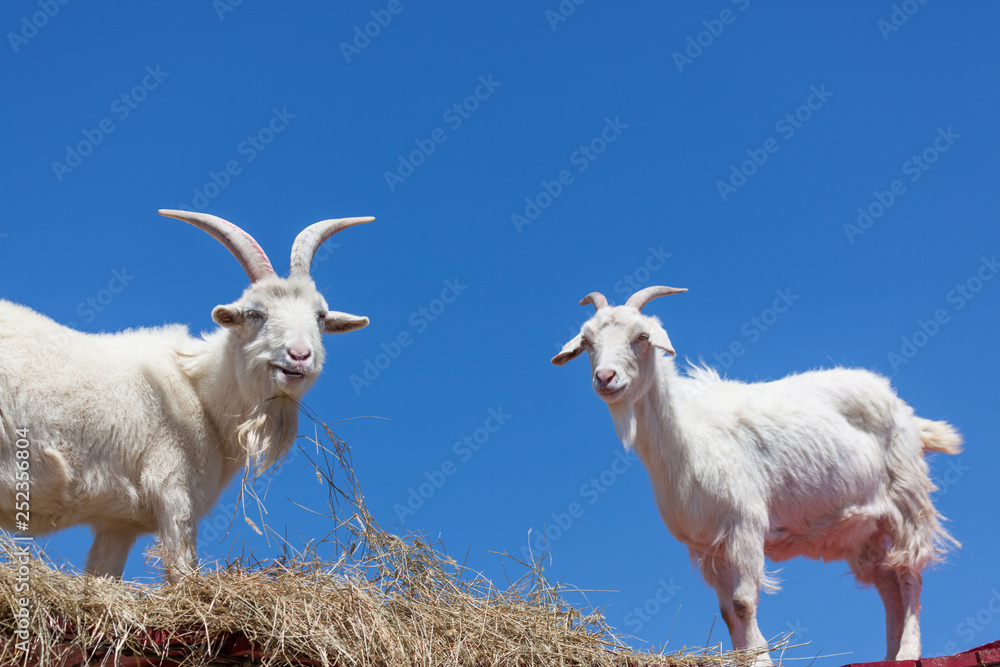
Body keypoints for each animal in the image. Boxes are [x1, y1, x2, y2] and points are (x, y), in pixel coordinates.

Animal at [0, 210, 371, 579]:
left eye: (320, 317)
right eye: (255, 313)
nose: (299, 356)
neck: (199, 393)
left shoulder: (117, 523)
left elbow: (103, 576)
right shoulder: (173, 488)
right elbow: (183, 572)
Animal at [552, 286, 961, 664]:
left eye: (641, 337)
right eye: (587, 342)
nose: (606, 378)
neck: (687, 430)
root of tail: (906, 411)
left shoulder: (744, 526)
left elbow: (743, 603)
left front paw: (761, 659)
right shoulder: (708, 546)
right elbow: (727, 612)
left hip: (906, 500)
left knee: (909, 575)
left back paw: (907, 652)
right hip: (862, 531)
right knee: (888, 584)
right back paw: (890, 654)